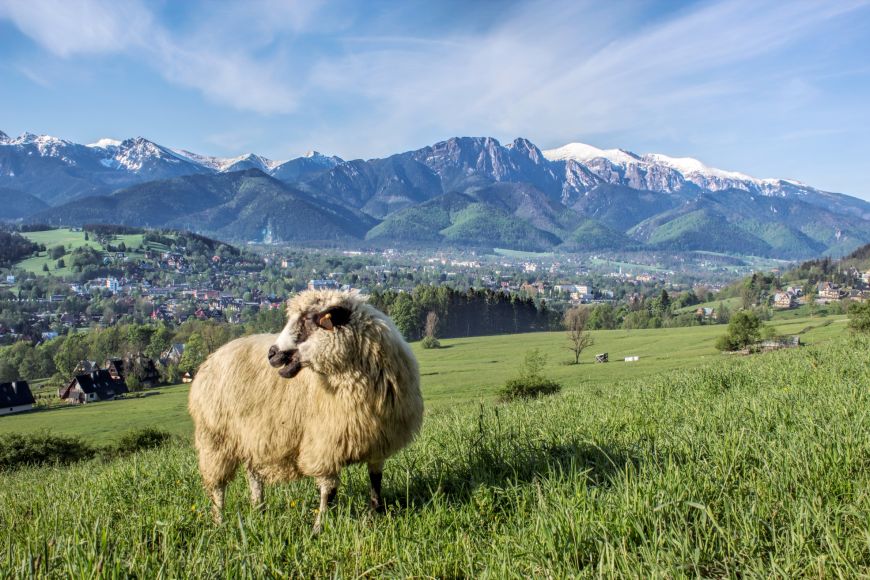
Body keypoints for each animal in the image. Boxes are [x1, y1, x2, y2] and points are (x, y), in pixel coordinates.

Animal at [188, 288, 426, 532]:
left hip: (252, 438)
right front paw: (319, 527)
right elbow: (328, 490)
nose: (272, 354)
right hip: (215, 438)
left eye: (309, 319)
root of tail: (212, 356)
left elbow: (376, 479)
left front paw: (375, 514)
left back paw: (259, 510)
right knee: (217, 487)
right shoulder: (325, 444)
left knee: (254, 476)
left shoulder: (378, 442)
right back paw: (219, 521)